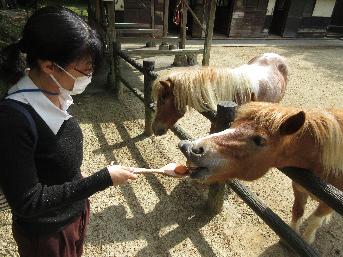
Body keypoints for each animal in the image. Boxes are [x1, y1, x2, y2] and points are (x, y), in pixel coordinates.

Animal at [180, 101, 343, 243]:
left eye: (259, 140)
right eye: (233, 125)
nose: (192, 148)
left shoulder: (327, 205)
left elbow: (315, 220)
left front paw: (307, 239)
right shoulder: (298, 188)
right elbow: (297, 211)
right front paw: (291, 238)